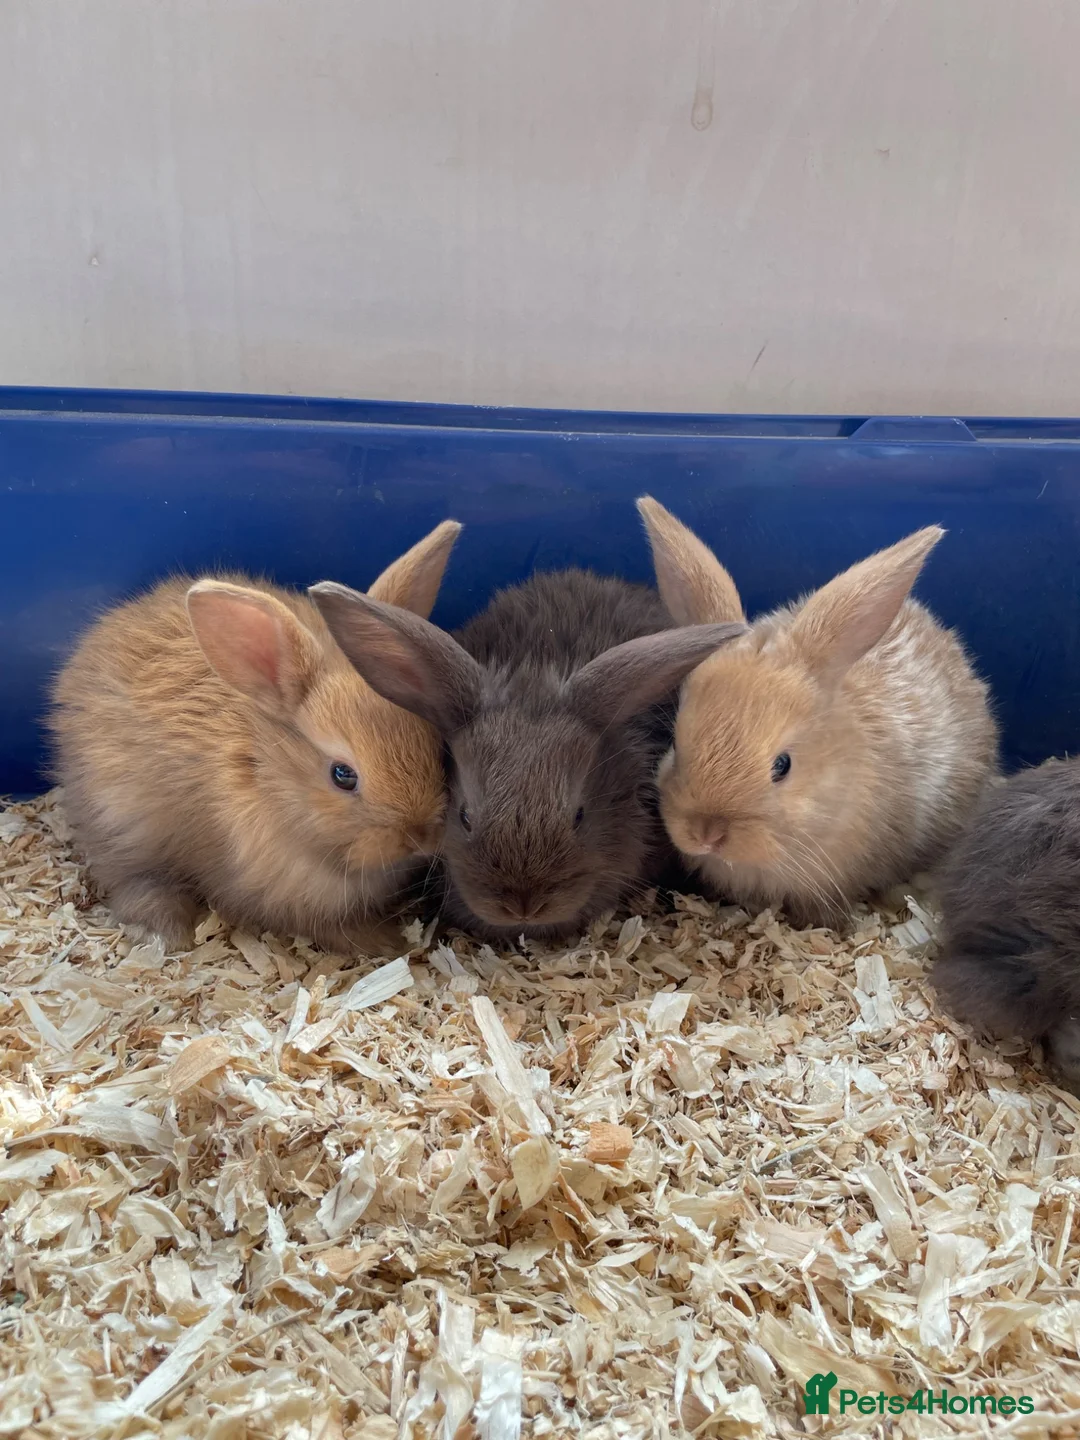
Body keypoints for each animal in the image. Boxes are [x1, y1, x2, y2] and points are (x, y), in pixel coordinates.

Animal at [49, 520, 462, 952]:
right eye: (342, 775)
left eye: (435, 744)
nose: (420, 836)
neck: (267, 775)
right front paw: (385, 942)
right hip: (121, 829)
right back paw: (169, 931)